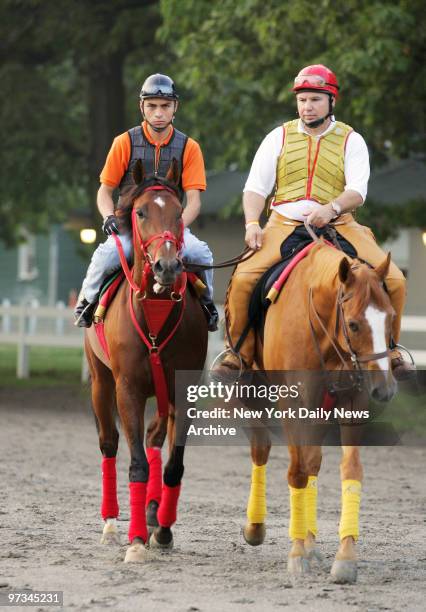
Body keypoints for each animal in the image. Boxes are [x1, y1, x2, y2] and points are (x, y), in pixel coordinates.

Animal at [83, 159, 208, 564]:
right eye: (139, 212)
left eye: (179, 212)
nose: (167, 266)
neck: (154, 308)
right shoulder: (128, 390)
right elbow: (136, 462)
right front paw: (136, 540)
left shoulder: (184, 391)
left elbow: (173, 464)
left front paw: (162, 529)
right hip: (101, 382)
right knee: (109, 444)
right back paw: (111, 524)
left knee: (155, 440)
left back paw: (154, 515)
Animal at [241, 238, 398, 584]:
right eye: (353, 324)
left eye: (391, 318)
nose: (385, 389)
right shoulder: (291, 404)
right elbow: (298, 471)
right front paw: (297, 553)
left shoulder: (353, 402)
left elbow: (348, 470)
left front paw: (345, 558)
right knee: (262, 448)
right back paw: (256, 527)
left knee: (313, 460)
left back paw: (310, 541)